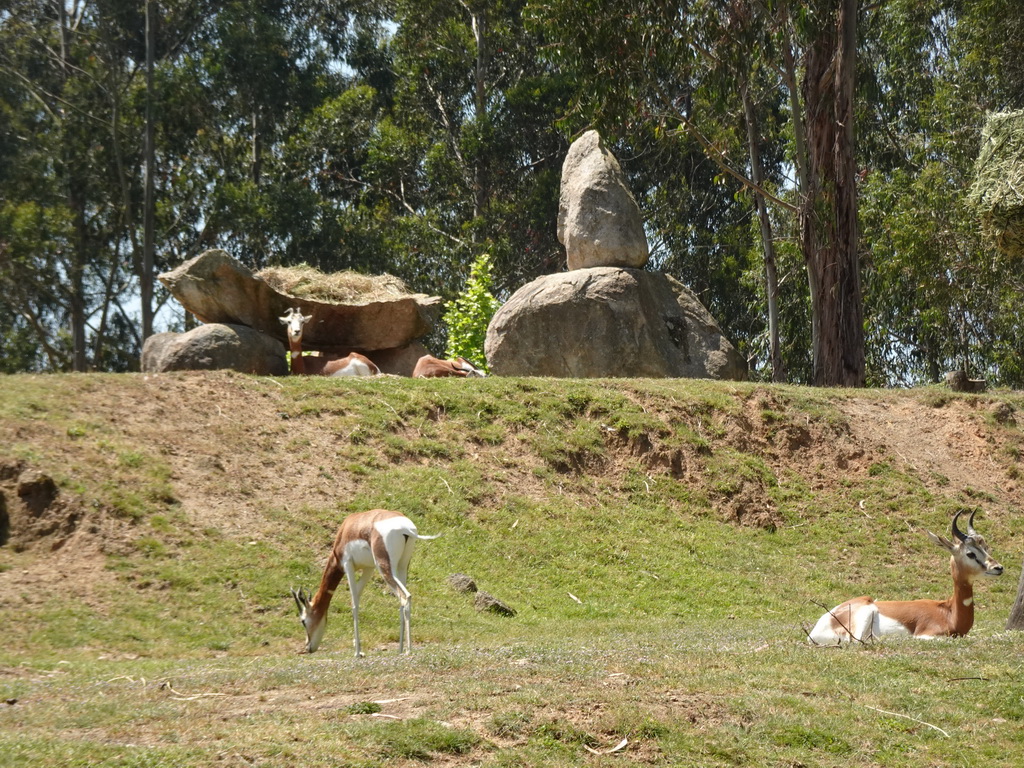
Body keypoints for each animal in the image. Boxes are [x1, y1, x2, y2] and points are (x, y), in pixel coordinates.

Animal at [290, 512, 438, 655]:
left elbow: (354, 603)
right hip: (402, 566)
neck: (346, 530)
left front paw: (357, 652)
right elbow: (358, 596)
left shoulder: (347, 564)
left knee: (405, 596)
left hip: (384, 566)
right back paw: (401, 649)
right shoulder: (369, 568)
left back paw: (408, 650)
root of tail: (406, 528)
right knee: (402, 600)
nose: (308, 648)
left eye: (303, 621)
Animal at [811, 514, 1003, 647]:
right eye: (970, 553)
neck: (949, 613)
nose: (998, 568)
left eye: (986, 548)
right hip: (868, 610)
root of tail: (814, 631)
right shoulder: (925, 635)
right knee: (857, 641)